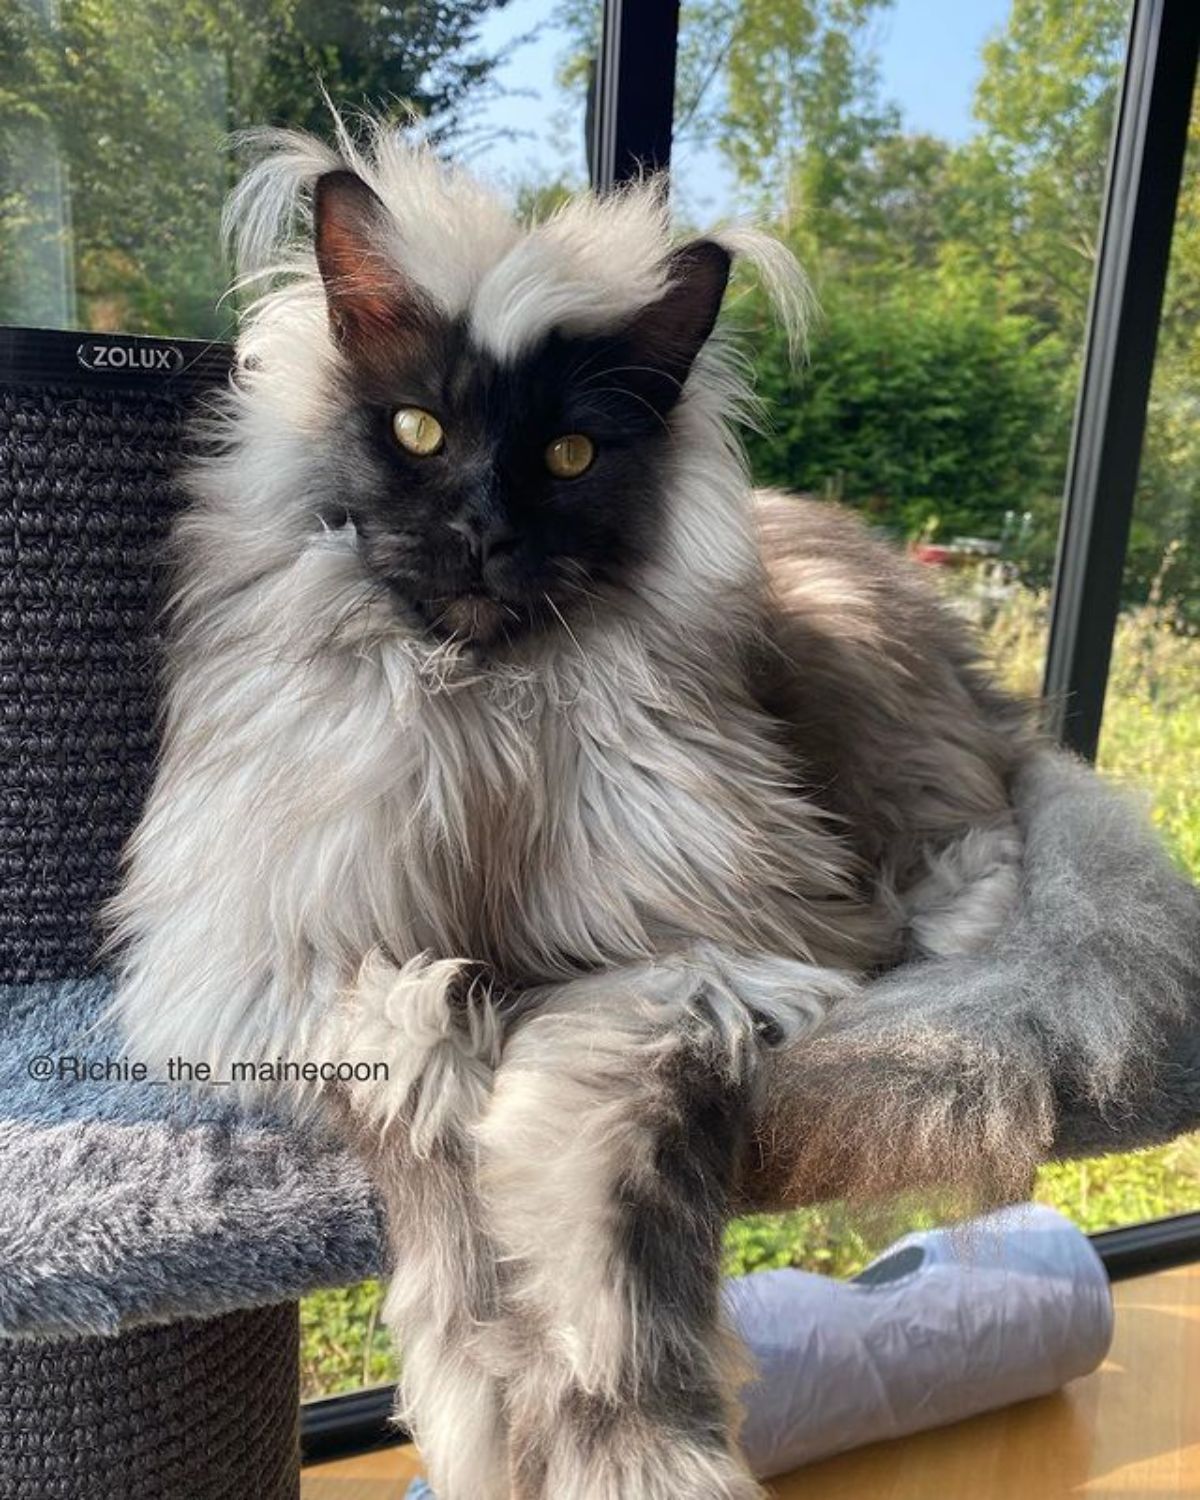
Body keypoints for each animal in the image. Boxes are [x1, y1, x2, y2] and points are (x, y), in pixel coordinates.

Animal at [108, 120, 1194, 1500]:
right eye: (416, 428)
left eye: (570, 455)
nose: (481, 530)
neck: (489, 718)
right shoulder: (298, 973)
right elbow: (436, 1146)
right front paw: (482, 1410)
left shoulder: (685, 966)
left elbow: (605, 1234)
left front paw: (632, 1450)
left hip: (871, 699)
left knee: (985, 826)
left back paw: (944, 922)